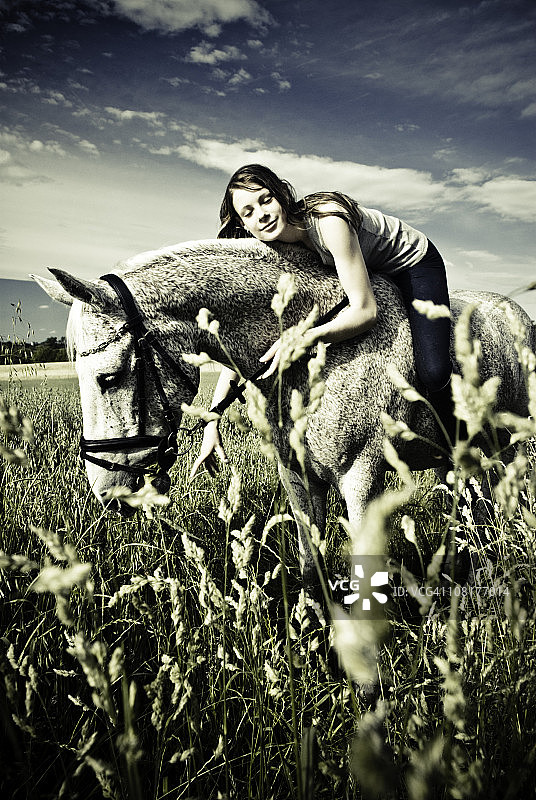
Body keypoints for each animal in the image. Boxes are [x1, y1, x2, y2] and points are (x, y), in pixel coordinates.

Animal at [32, 238, 534, 594]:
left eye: (108, 378)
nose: (107, 491)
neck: (314, 344)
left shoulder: (362, 477)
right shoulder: (297, 474)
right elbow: (312, 568)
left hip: (511, 449)